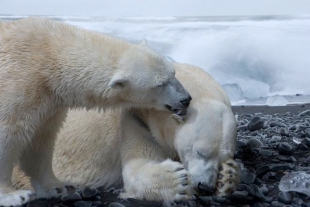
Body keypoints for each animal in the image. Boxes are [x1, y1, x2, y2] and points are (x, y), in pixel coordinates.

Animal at [0, 17, 190, 206]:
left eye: (173, 73)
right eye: (160, 84)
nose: (186, 99)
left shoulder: (49, 104)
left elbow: (40, 140)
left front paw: (59, 187)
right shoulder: (18, 84)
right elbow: (7, 135)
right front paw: (13, 196)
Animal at [13, 62, 242, 202]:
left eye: (225, 156)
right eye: (200, 152)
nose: (205, 186)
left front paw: (228, 176)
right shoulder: (135, 118)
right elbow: (137, 167)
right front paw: (178, 181)